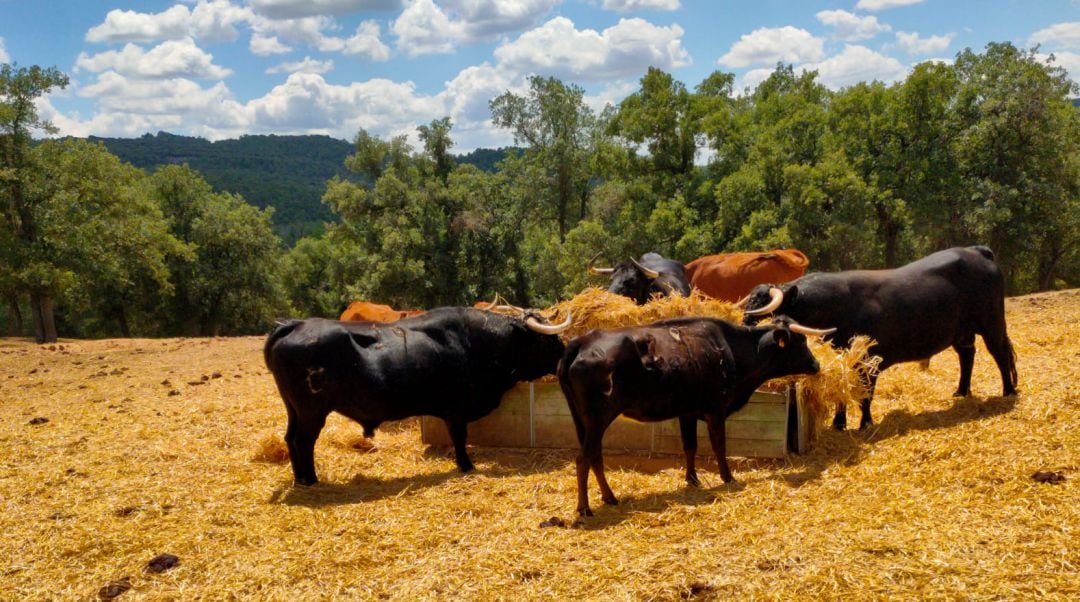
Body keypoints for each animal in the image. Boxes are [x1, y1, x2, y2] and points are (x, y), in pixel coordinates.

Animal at [263, 306, 565, 486]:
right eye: (548, 340)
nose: (566, 353)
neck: (477, 342)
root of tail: (296, 325)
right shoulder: (456, 410)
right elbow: (459, 438)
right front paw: (466, 465)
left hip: (294, 410)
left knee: (290, 438)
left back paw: (300, 478)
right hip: (311, 412)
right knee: (303, 441)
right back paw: (311, 479)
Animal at [557, 315, 825, 516]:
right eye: (800, 341)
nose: (817, 364)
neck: (730, 348)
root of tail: (584, 340)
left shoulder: (687, 412)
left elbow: (690, 446)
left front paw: (692, 479)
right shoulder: (715, 409)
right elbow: (719, 445)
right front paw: (727, 477)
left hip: (583, 421)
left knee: (595, 456)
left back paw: (609, 497)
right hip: (598, 419)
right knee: (583, 458)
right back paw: (585, 508)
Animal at [743, 246, 1019, 430]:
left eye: (768, 308)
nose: (745, 320)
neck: (840, 304)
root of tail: (976, 250)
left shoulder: (870, 361)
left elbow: (866, 395)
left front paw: (865, 423)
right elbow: (842, 393)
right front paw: (839, 423)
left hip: (992, 323)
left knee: (1000, 353)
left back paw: (1008, 391)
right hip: (961, 332)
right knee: (967, 355)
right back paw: (961, 391)